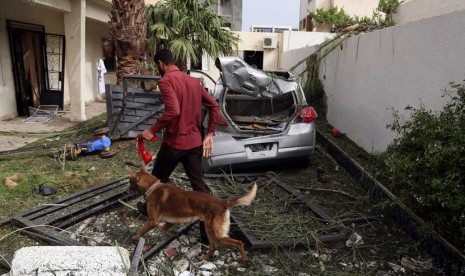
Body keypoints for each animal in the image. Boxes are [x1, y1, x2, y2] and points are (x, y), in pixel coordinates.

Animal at [126, 164, 258, 264]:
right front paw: (172, 234)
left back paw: (245, 260)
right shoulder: (169, 221)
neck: (152, 187)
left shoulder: (152, 221)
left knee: (238, 243)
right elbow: (163, 229)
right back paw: (204, 258)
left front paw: (135, 237)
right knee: (213, 247)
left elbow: (142, 230)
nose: (126, 192)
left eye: (130, 182)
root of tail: (223, 202)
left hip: (216, 234)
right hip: (210, 231)